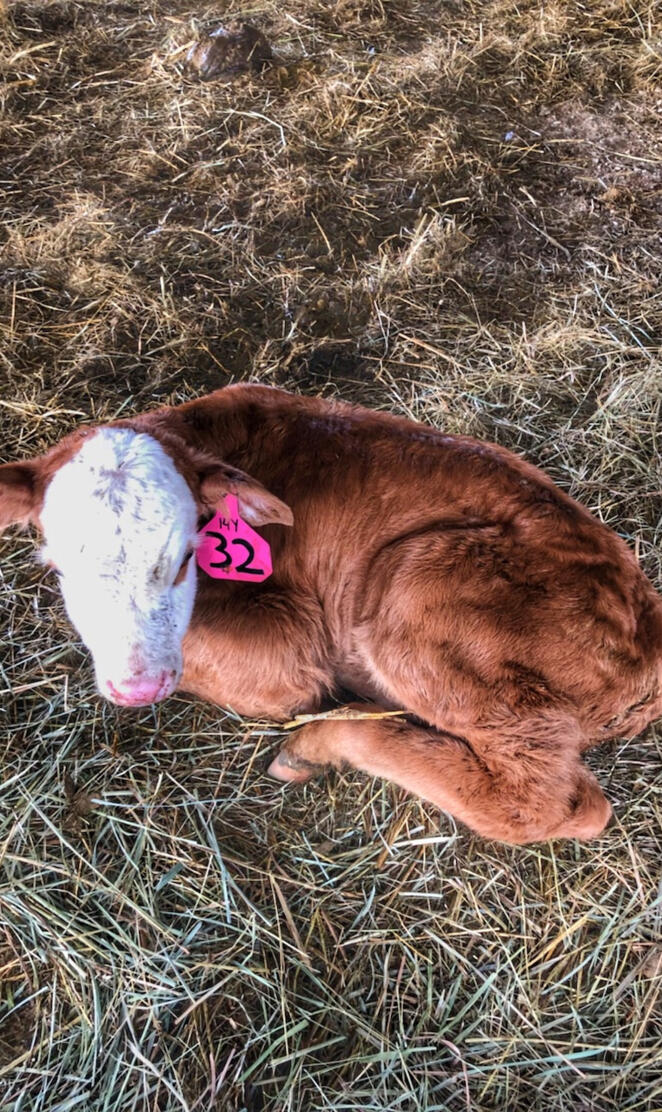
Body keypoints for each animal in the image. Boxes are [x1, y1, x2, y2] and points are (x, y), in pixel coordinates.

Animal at [1, 384, 661, 845]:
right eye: (59, 565)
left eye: (188, 553)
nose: (136, 687)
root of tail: (647, 639)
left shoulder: (288, 657)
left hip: (422, 594)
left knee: (551, 803)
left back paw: (320, 742)